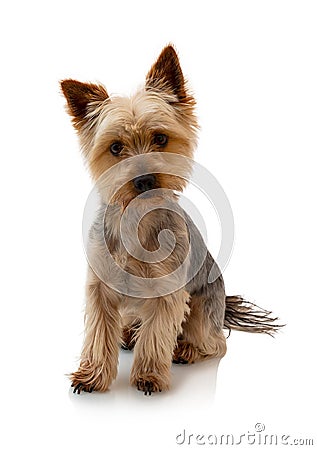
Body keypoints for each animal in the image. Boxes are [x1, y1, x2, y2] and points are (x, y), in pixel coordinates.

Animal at [59, 44, 278, 394]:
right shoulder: (100, 289)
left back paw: (186, 349)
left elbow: (157, 333)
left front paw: (148, 375)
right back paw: (127, 335)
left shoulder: (167, 292)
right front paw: (92, 375)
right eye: (115, 147)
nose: (145, 179)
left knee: (214, 342)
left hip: (204, 306)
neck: (137, 222)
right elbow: (98, 333)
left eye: (161, 138)